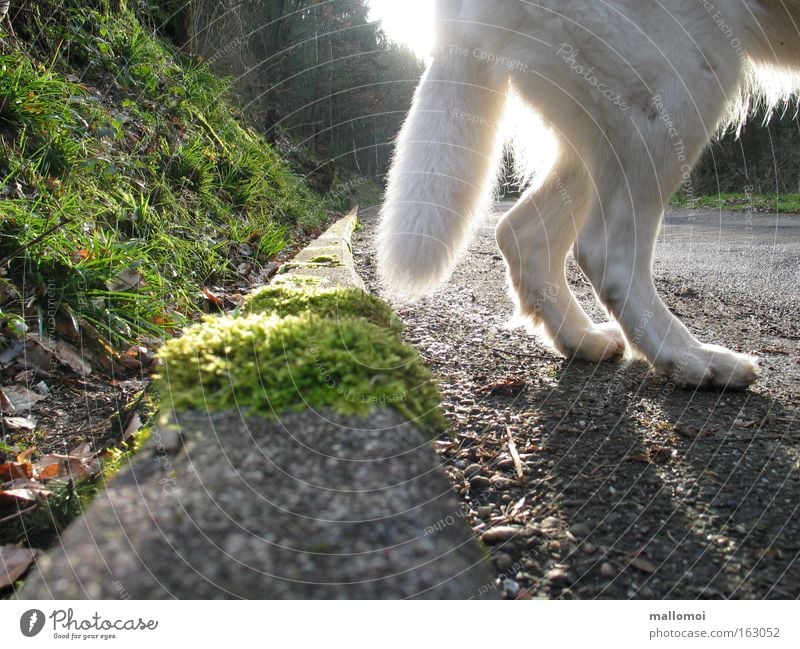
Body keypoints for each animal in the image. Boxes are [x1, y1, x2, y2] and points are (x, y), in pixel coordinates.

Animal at [376, 0, 800, 388]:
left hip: (600, 130)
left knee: (521, 232)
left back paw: (582, 339)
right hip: (679, 78)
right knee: (607, 253)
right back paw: (690, 358)